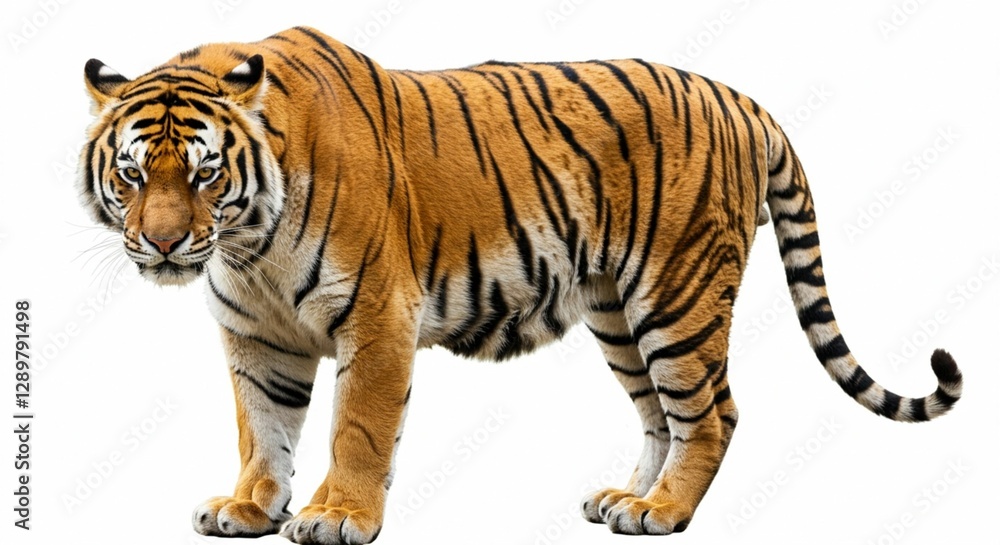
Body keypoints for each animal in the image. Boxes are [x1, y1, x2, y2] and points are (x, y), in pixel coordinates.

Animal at [77, 26, 962, 543]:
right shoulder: (257, 336)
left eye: (203, 173)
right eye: (132, 173)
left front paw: (336, 516)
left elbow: (356, 429)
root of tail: (741, 100)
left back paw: (665, 512)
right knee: (660, 415)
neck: (248, 244)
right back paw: (627, 499)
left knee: (714, 412)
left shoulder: (378, 317)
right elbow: (260, 429)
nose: (163, 241)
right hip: (617, 312)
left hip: (676, 296)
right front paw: (251, 507)